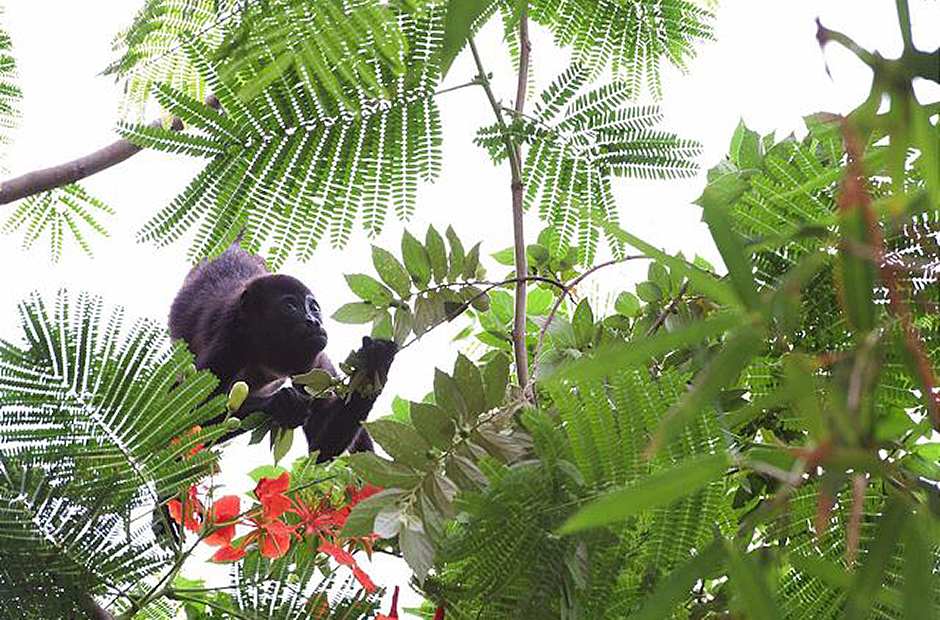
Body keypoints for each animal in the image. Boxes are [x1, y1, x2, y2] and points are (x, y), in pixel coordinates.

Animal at [168, 245, 396, 460]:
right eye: (290, 306)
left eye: (314, 308)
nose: (313, 322)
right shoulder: (229, 343)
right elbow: (185, 414)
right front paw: (281, 402)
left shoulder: (313, 365)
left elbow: (320, 448)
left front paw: (374, 364)